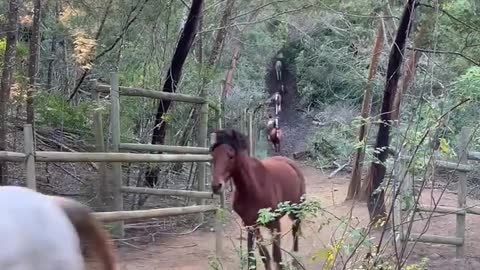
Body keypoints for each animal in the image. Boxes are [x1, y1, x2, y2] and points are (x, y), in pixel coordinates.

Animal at [209, 129, 304, 270]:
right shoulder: (250, 225)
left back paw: (295, 260)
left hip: (296, 209)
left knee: (295, 232)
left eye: (231, 156)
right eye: (213, 157)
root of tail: (290, 163)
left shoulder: (275, 224)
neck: (254, 189)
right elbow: (259, 255)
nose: (216, 186)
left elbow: (277, 257)